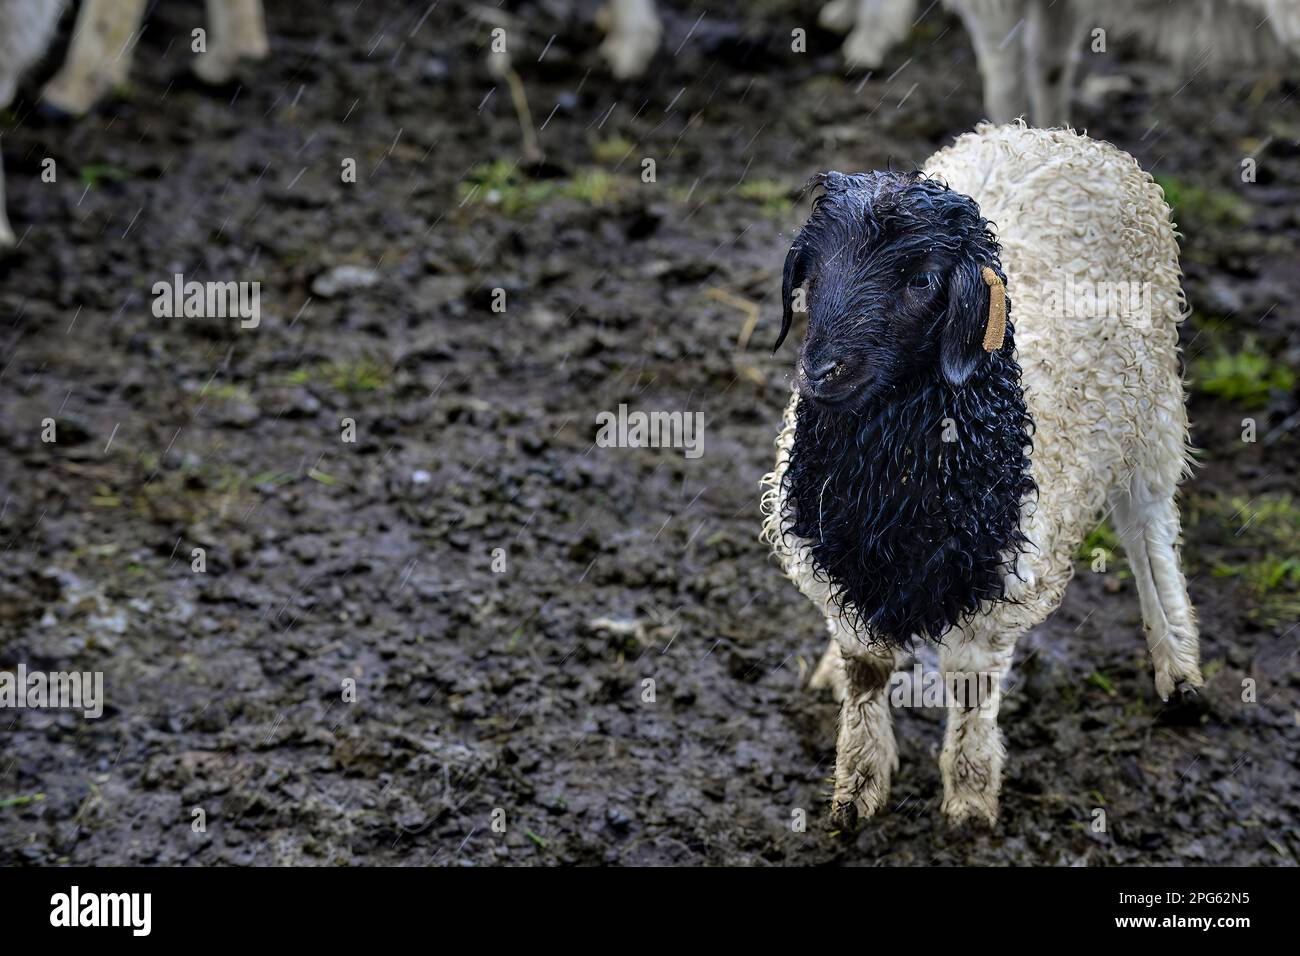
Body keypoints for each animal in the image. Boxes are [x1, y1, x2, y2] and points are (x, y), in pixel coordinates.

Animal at [760, 122, 1202, 828]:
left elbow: (971, 684)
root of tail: (1053, 135)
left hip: (1151, 402)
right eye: (814, 269)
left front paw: (968, 798)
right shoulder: (834, 556)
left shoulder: (1002, 580)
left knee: (1148, 526)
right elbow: (866, 670)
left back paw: (1179, 664)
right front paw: (856, 789)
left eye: (922, 279)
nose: (823, 372)